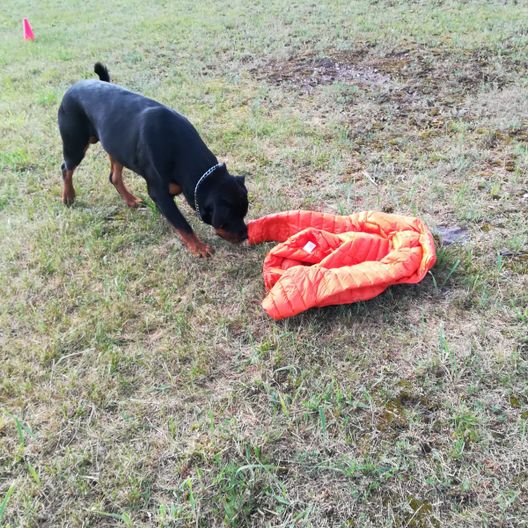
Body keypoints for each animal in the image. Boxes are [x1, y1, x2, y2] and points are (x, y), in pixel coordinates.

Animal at [58, 63, 249, 256]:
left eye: (244, 212)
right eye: (228, 218)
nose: (245, 234)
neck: (180, 151)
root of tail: (73, 87)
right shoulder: (160, 193)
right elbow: (182, 224)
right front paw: (199, 248)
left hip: (116, 148)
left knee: (113, 176)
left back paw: (130, 200)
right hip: (75, 144)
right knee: (66, 168)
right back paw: (69, 197)